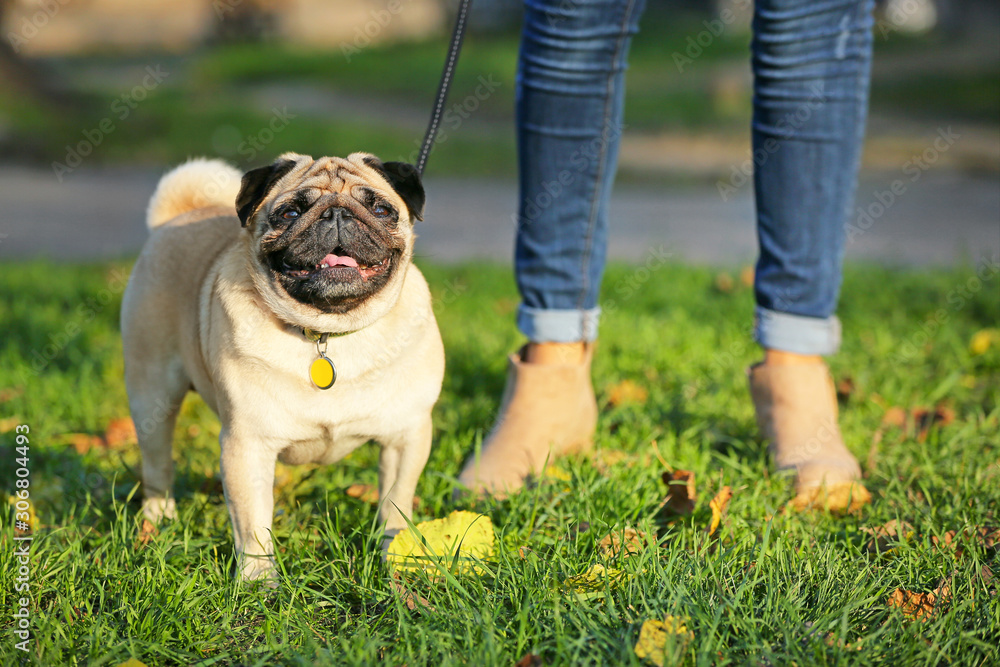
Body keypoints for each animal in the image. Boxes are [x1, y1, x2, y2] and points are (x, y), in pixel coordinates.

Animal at [120, 151, 442, 580]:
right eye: (290, 212)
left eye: (380, 209)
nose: (337, 214)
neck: (327, 332)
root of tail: (177, 217)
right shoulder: (246, 447)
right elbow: (253, 524)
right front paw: (258, 581)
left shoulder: (405, 437)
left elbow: (396, 504)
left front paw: (396, 557)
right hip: (152, 395)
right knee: (157, 466)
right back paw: (158, 521)